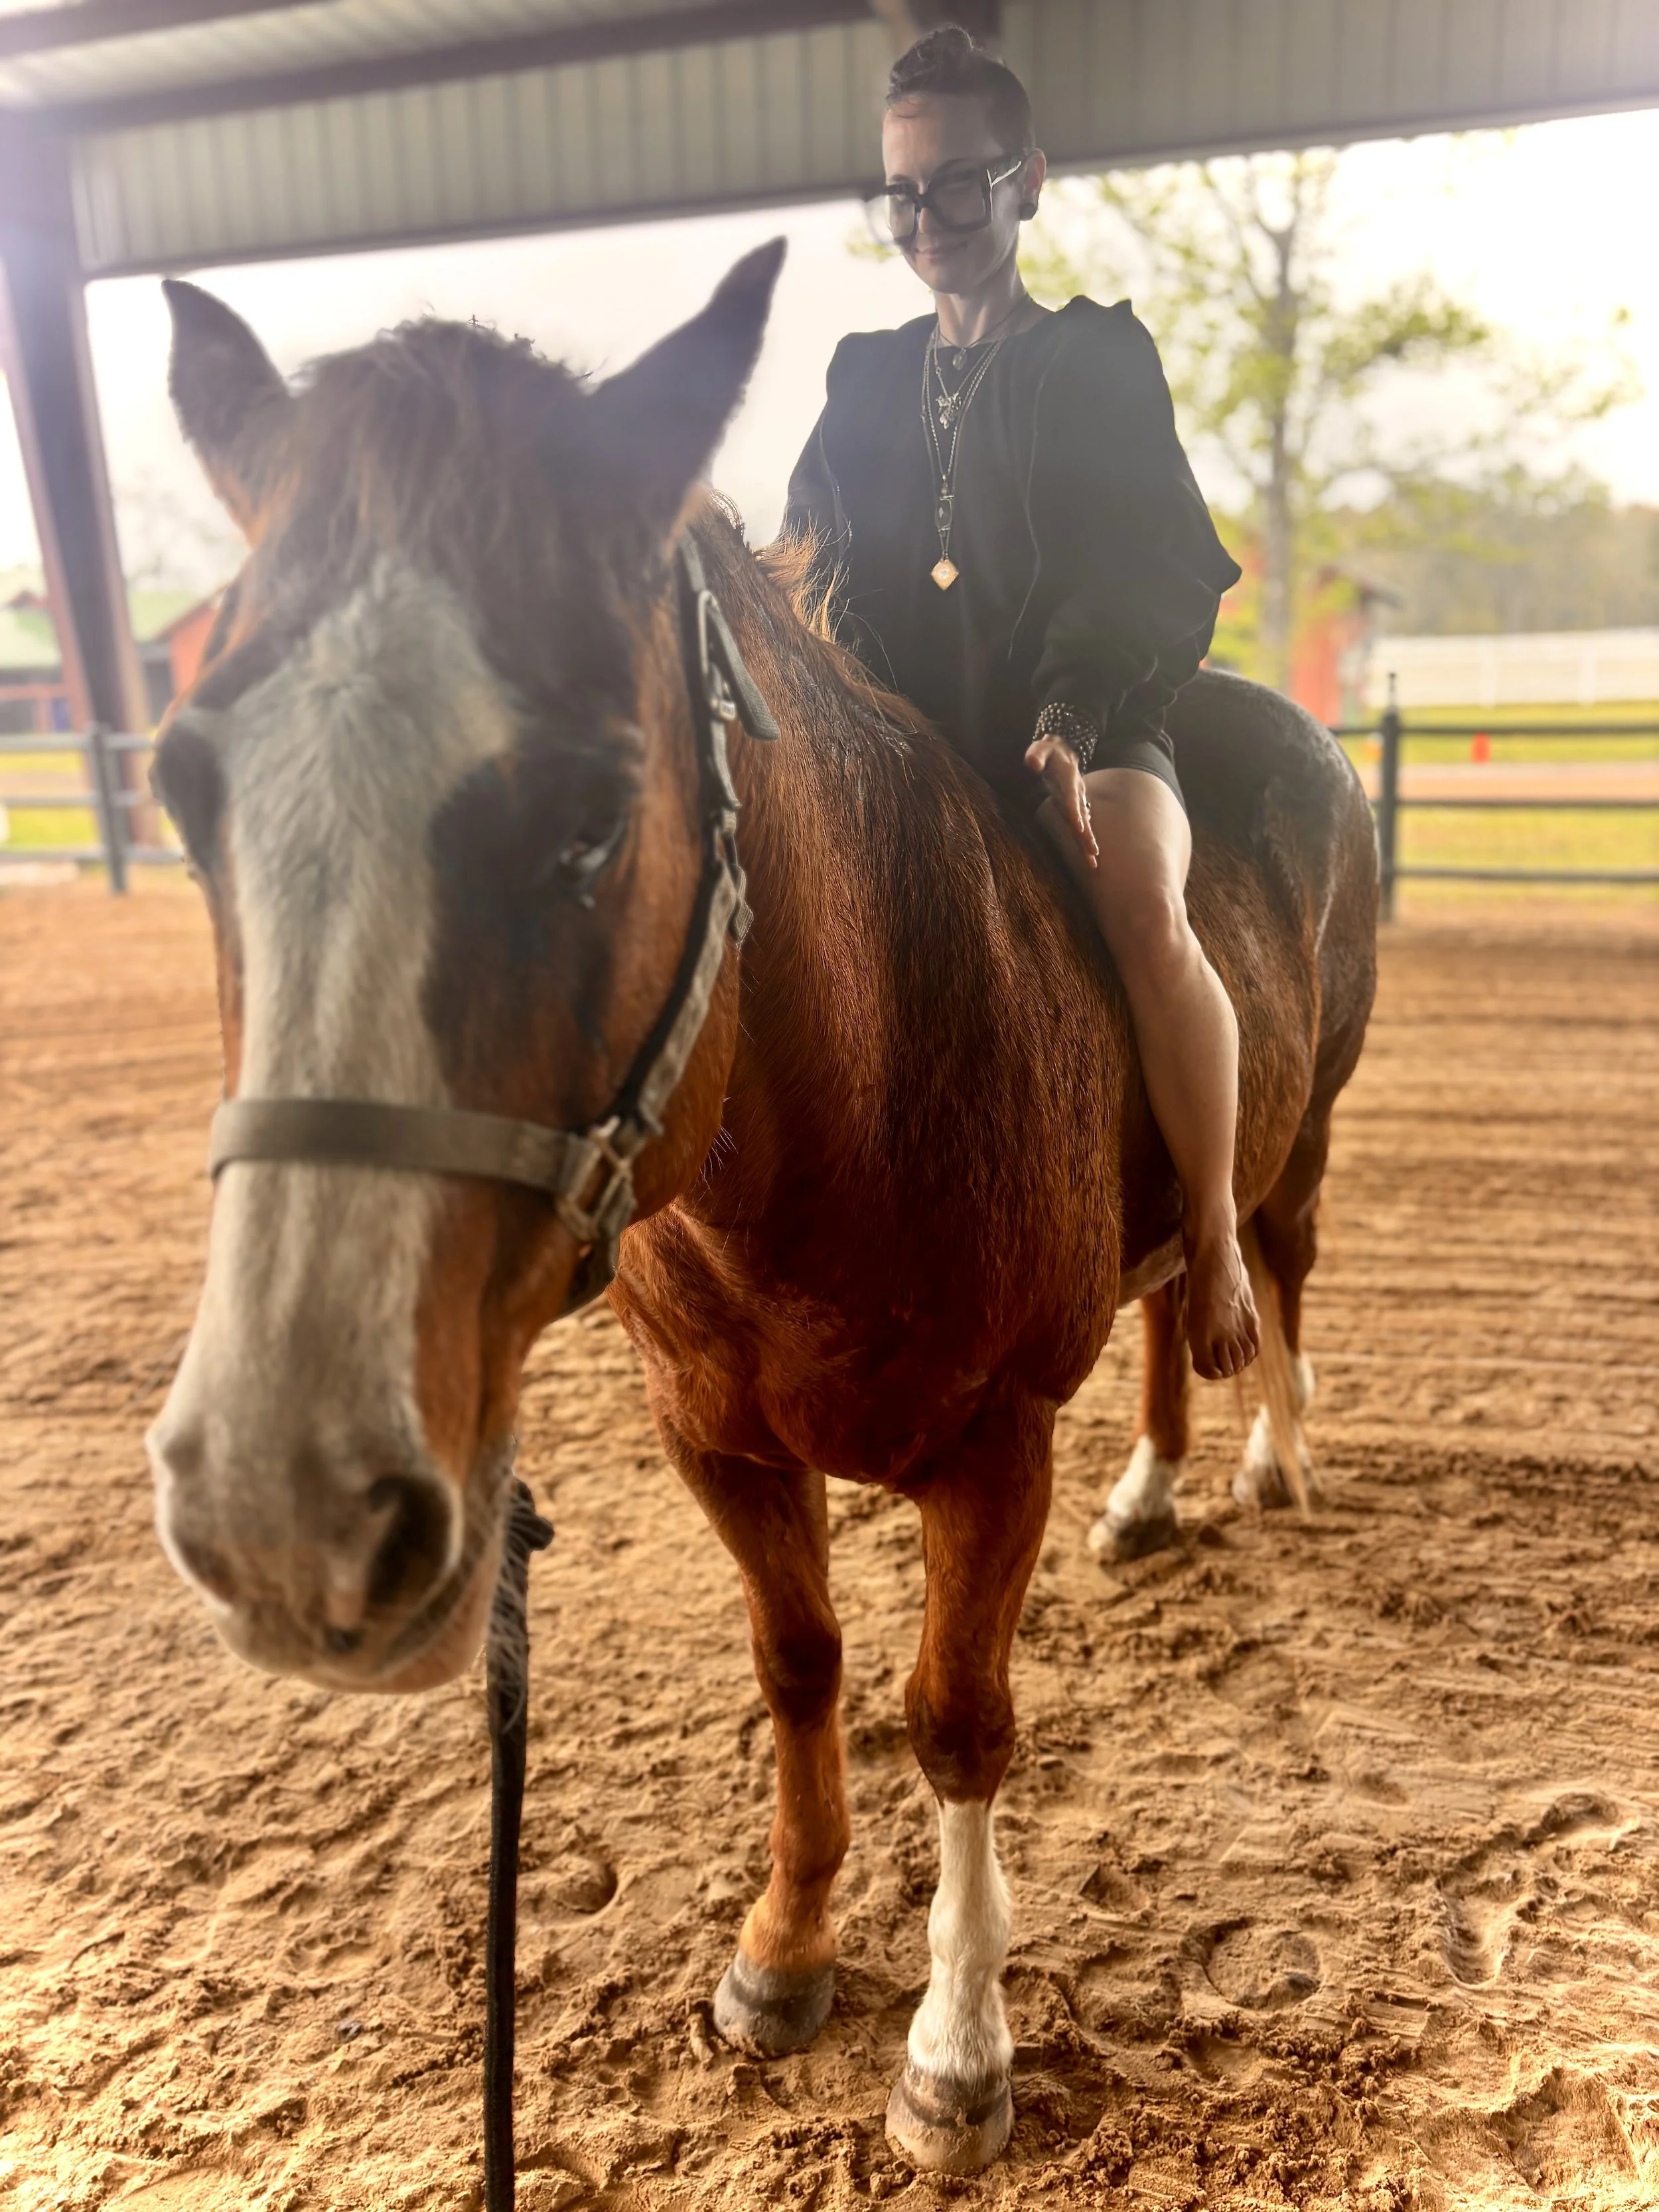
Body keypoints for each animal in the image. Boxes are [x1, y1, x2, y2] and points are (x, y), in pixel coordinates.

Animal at [145, 241, 1377, 2176]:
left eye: (593, 810)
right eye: (182, 792)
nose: (285, 1518)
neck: (840, 1107)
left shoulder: (989, 1449)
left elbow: (954, 1718)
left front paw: (956, 2045)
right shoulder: (714, 1436)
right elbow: (799, 1667)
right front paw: (784, 1948)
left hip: (1300, 1131)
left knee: (1277, 1265)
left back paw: (1270, 1452)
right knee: (1176, 1301)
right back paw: (1154, 1487)